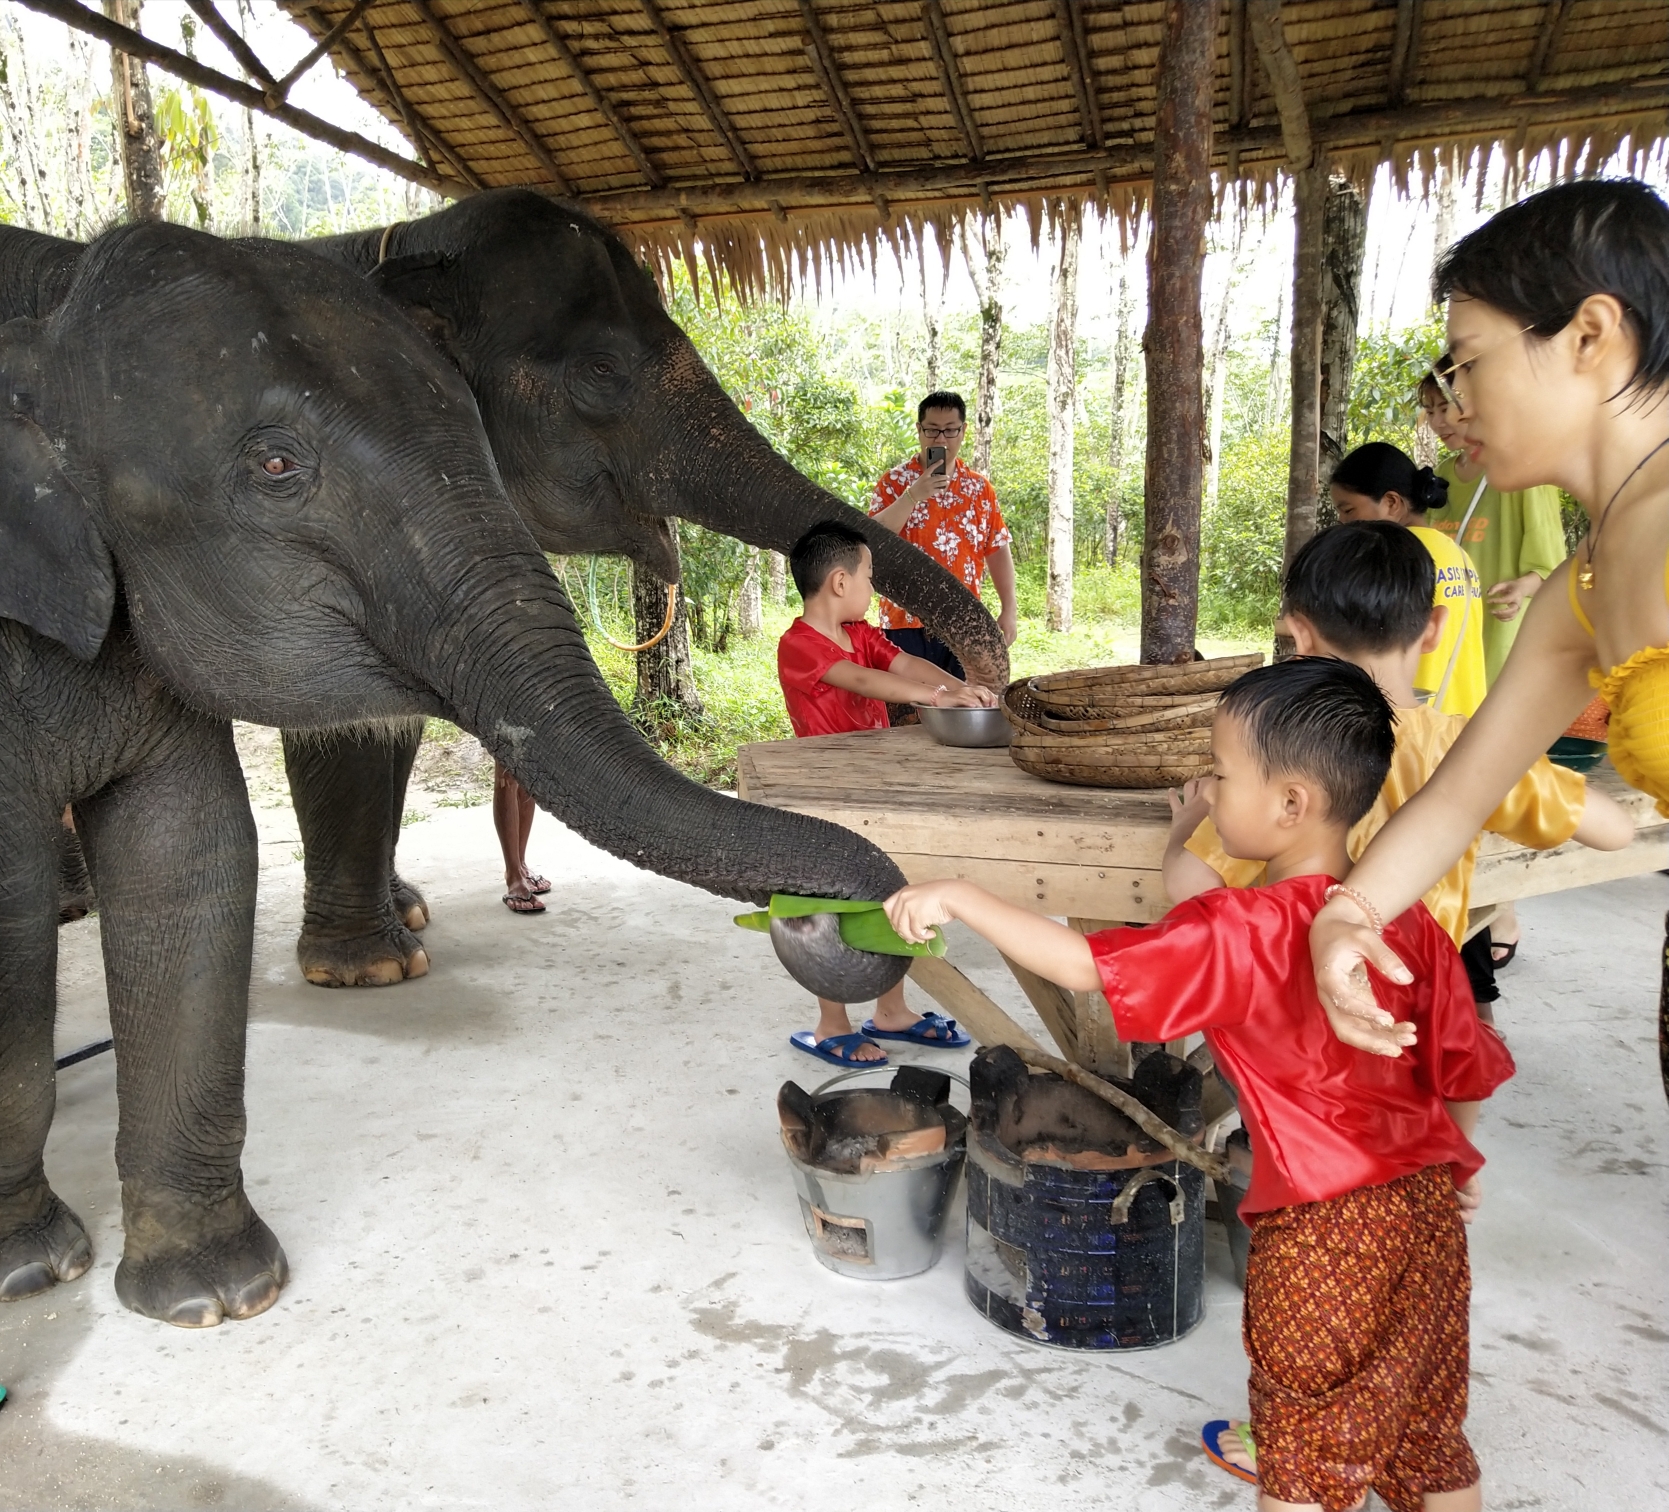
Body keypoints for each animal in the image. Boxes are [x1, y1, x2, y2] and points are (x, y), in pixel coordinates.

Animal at [3, 197, 1001, 987]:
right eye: (601, 372)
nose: (982, 682)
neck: (401, 233)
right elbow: (346, 726)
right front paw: (371, 972)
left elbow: (390, 722)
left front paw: (394, 933)